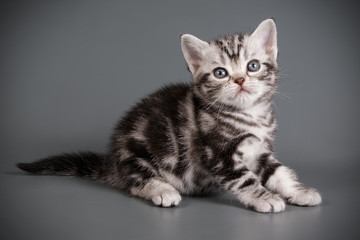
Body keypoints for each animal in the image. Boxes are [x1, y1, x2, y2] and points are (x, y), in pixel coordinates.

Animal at [17, 19, 320, 214]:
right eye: (220, 72)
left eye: (253, 66)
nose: (240, 80)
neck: (247, 115)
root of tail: (112, 161)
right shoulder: (218, 155)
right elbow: (244, 179)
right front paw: (264, 197)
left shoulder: (259, 151)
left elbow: (278, 172)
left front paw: (299, 191)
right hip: (136, 152)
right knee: (135, 181)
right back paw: (162, 190)